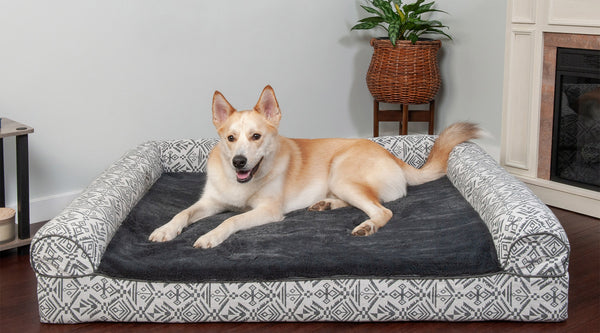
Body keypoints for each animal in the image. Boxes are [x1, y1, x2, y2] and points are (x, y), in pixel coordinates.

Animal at [150, 85, 482, 246]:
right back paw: (326, 205)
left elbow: (230, 221)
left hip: (342, 174)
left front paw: (209, 236)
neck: (242, 184)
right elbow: (183, 213)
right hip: (341, 184)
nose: (238, 161)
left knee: (382, 210)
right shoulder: (210, 202)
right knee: (365, 203)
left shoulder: (268, 211)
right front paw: (166, 230)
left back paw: (367, 225)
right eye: (230, 138)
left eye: (256, 136)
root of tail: (393, 156)